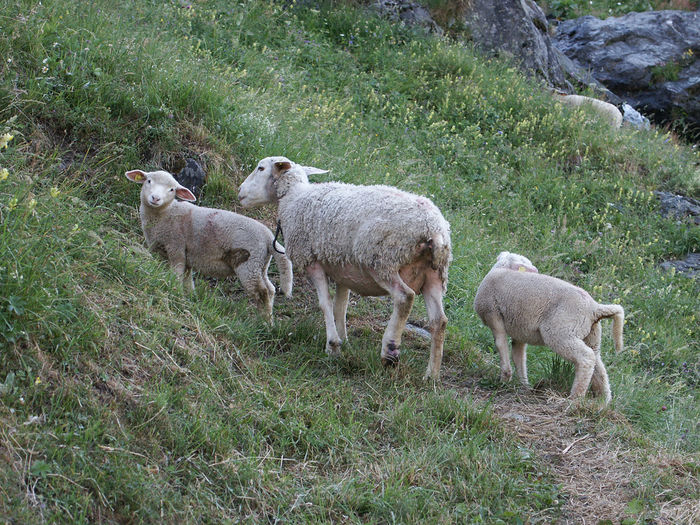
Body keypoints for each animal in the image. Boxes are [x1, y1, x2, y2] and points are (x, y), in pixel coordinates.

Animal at [124, 170, 292, 322]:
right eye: (149, 181)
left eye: (171, 189)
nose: (155, 198)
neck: (165, 214)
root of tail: (268, 236)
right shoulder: (177, 254)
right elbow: (186, 280)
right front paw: (188, 297)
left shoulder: (176, 248)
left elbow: (176, 276)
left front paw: (173, 291)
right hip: (260, 264)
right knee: (270, 289)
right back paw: (268, 319)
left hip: (248, 263)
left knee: (261, 293)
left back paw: (263, 323)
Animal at [238, 154, 452, 378]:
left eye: (261, 168)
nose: (240, 191)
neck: (294, 196)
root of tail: (435, 230)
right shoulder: (343, 270)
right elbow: (340, 306)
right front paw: (344, 340)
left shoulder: (312, 261)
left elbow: (325, 303)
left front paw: (332, 345)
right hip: (434, 275)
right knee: (439, 320)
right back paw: (431, 375)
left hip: (382, 260)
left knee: (405, 297)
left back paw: (390, 351)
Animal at [474, 252, 628, 404]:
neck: (503, 267)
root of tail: (595, 308)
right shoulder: (520, 330)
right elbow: (519, 357)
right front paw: (524, 385)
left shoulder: (493, 315)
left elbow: (501, 345)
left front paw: (504, 379)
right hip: (592, 336)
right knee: (598, 365)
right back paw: (604, 400)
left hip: (561, 332)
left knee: (586, 357)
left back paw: (575, 398)